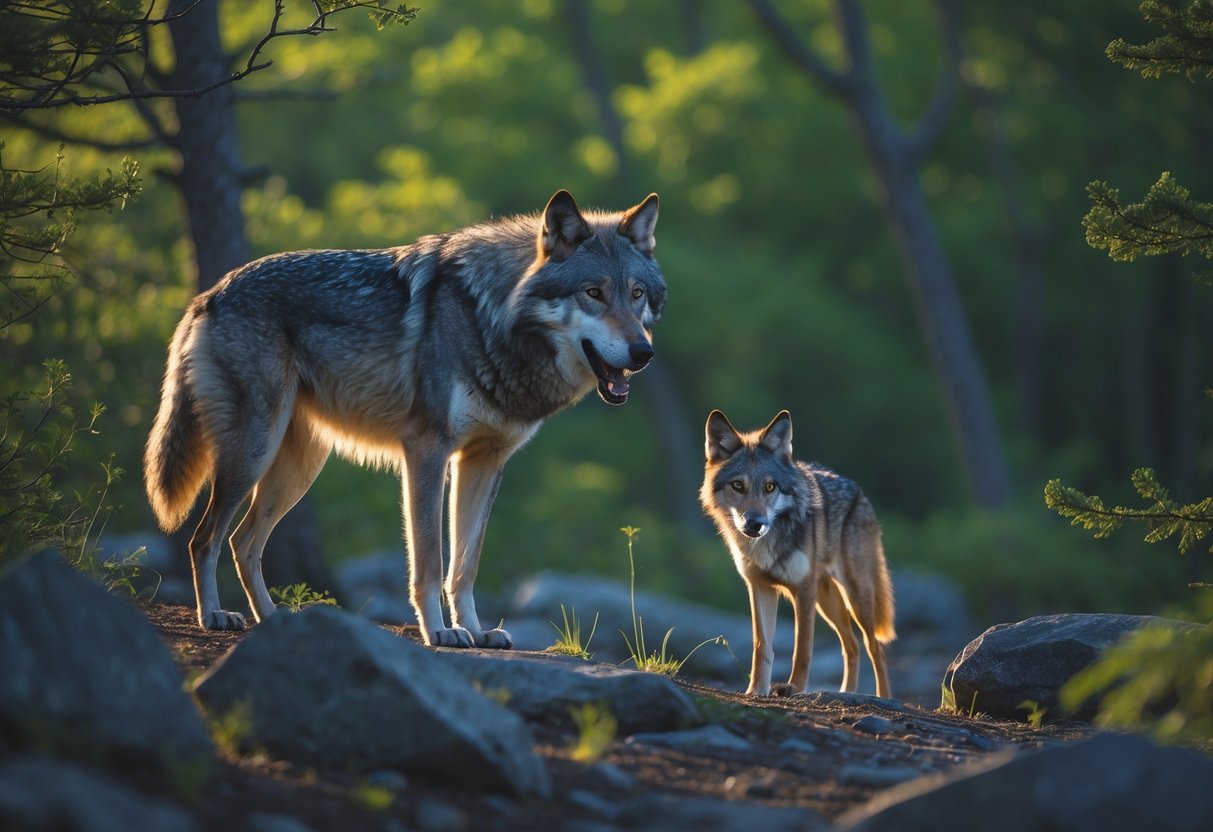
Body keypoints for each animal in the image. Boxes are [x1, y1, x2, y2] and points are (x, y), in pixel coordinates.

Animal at [145, 189, 664, 645]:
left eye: (637, 294)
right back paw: (214, 614)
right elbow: (430, 559)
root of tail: (210, 293)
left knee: (243, 543)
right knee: (204, 539)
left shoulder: (484, 461)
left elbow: (465, 564)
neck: (490, 319)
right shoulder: (427, 451)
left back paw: (273, 621)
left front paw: (476, 632)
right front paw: (441, 633)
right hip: (254, 451)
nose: (644, 354)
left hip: (299, 468)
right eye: (593, 292)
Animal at [700, 410, 895, 697]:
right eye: (738, 485)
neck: (768, 542)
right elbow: (762, 647)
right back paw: (846, 693)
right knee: (852, 645)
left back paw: (883, 697)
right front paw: (756, 691)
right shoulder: (759, 588)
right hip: (828, 602)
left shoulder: (802, 589)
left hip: (855, 597)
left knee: (875, 648)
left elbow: (802, 648)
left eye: (770, 487)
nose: (755, 523)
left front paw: (795, 688)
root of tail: (859, 492)